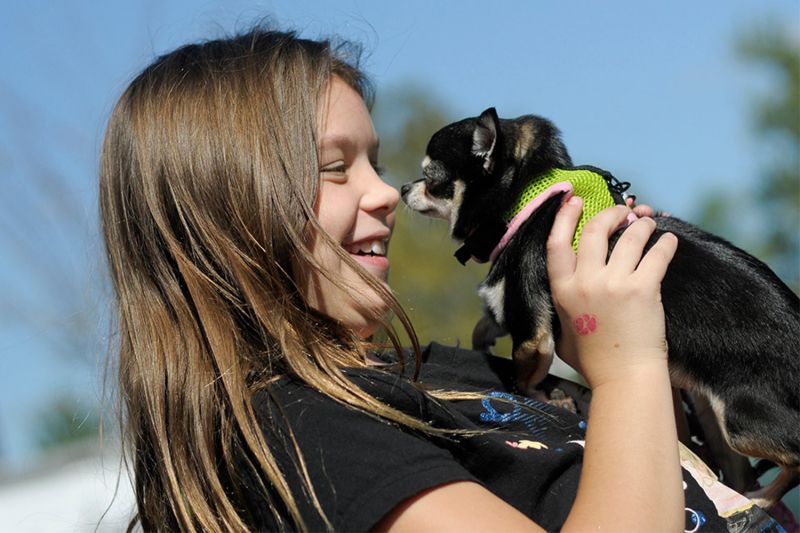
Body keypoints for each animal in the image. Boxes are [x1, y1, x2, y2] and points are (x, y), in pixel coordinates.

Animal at [404, 107, 800, 508]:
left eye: (431, 178)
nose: (405, 189)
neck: (529, 198)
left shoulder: (533, 331)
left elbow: (523, 369)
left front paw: (540, 395)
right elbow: (492, 317)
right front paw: (483, 335)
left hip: (741, 421)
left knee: (794, 456)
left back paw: (761, 499)